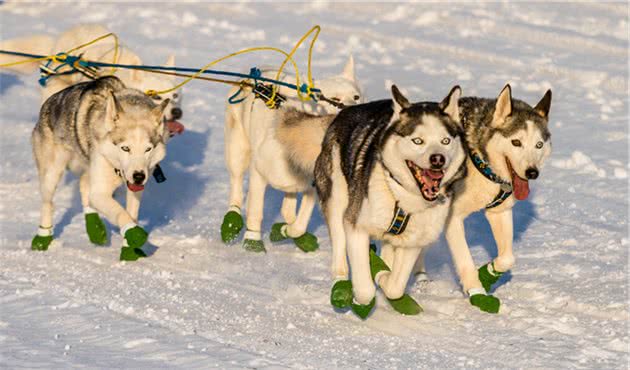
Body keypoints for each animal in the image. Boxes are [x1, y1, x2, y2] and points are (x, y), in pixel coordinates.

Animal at [31, 76, 170, 260]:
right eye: (125, 148)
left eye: (148, 149)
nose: (139, 176)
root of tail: (50, 101)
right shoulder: (101, 192)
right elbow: (121, 213)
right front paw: (135, 234)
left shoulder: (135, 190)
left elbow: (131, 215)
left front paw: (129, 250)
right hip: (51, 174)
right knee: (48, 203)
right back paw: (43, 238)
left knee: (85, 188)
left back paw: (95, 229)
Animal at [222, 55, 362, 251]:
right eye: (333, 98)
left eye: (357, 97)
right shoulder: (259, 173)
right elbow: (255, 210)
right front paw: (253, 241)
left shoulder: (312, 185)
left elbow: (300, 223)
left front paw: (286, 231)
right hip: (238, 151)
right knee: (236, 186)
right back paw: (232, 219)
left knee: (287, 207)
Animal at [316, 84, 470, 318]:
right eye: (417, 141)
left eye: (445, 141)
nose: (438, 159)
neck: (403, 198)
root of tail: (347, 110)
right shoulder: (356, 226)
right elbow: (365, 290)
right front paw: (364, 292)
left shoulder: (414, 240)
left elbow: (395, 286)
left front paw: (383, 276)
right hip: (337, 199)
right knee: (339, 248)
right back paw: (341, 282)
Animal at [424, 85, 552, 314]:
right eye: (516, 142)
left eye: (538, 145)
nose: (532, 172)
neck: (481, 163)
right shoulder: (453, 219)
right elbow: (465, 260)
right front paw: (476, 292)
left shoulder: (499, 212)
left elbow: (508, 258)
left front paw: (487, 273)